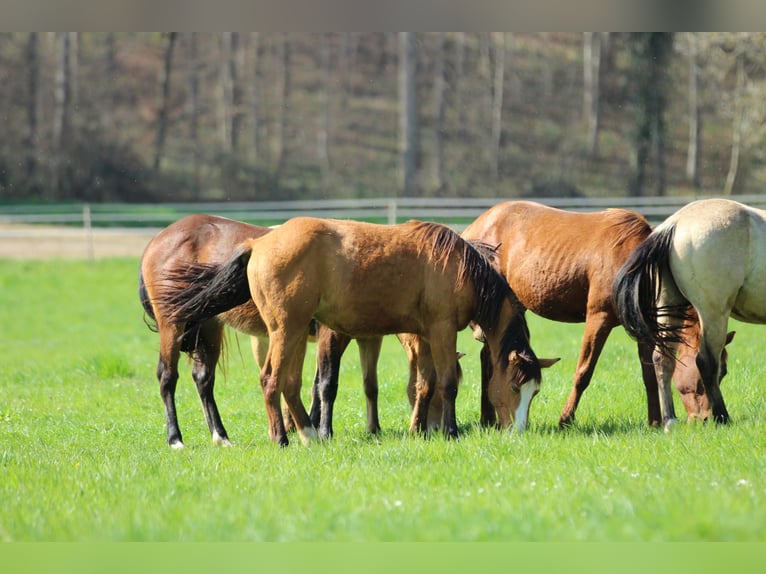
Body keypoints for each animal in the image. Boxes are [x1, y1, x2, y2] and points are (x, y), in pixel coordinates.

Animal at [156, 217, 558, 445]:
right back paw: (282, 437)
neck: (460, 268)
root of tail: (258, 244)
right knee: (271, 379)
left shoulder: (425, 336)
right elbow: (446, 383)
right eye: (515, 387)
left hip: (294, 333)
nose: (518, 432)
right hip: (285, 330)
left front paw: (427, 429)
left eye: (535, 392)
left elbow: (425, 384)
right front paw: (452, 432)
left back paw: (309, 434)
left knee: (288, 383)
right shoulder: (442, 330)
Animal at [459, 200, 723, 428]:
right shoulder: (599, 318)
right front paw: (565, 419)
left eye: (722, 374)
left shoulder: (642, 326)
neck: (632, 267)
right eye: (700, 380)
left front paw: (655, 422)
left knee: (489, 356)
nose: (706, 419)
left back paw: (488, 418)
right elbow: (584, 372)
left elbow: (649, 374)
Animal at [613, 197, 764, 427]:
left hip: (670, 309)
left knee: (662, 359)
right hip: (713, 313)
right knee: (705, 361)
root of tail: (674, 224)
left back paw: (670, 420)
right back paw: (722, 417)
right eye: (725, 371)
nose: (702, 418)